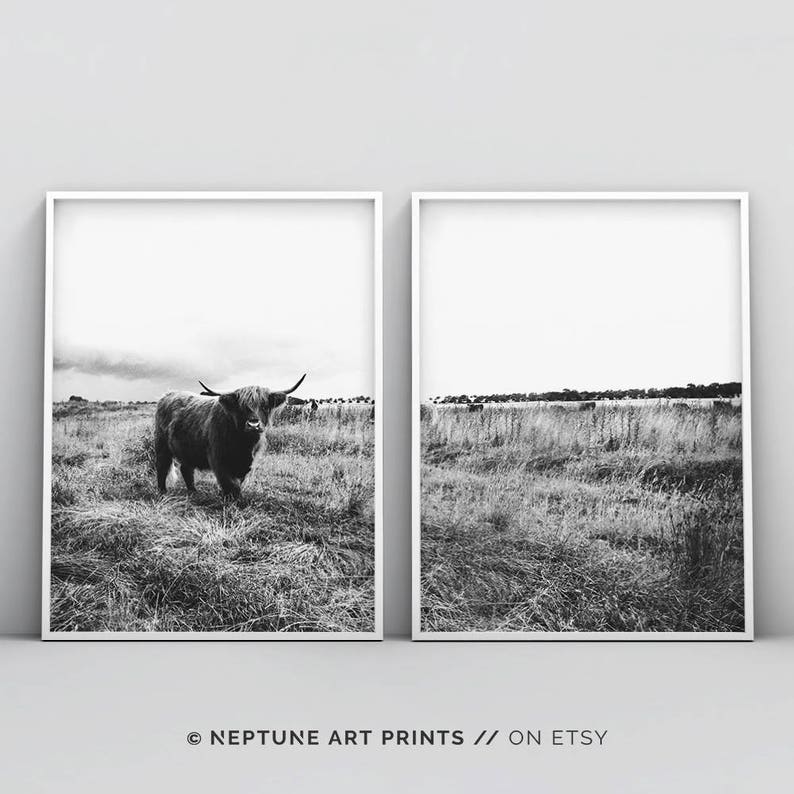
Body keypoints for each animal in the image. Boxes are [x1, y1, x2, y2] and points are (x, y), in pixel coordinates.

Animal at [154, 374, 306, 498]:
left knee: (186, 469)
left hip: (188, 449)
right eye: (241, 407)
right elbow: (231, 484)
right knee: (162, 466)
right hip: (161, 444)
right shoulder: (218, 459)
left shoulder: (247, 463)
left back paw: (193, 491)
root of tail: (167, 394)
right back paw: (162, 492)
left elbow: (238, 482)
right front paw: (233, 500)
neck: (244, 444)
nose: (253, 425)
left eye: (264, 406)